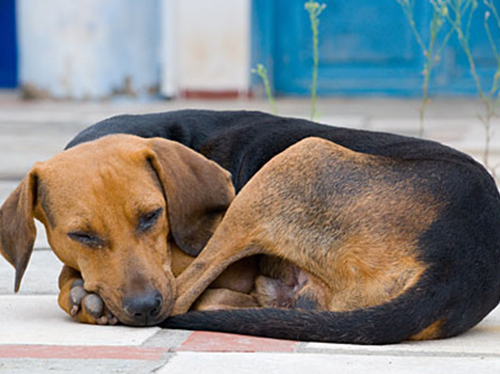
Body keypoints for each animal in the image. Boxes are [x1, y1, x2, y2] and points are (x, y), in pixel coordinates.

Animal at [0, 111, 500, 344]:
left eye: (152, 216)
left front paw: (83, 294)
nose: (143, 309)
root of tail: (455, 268)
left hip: (295, 161)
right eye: (82, 235)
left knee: (187, 292)